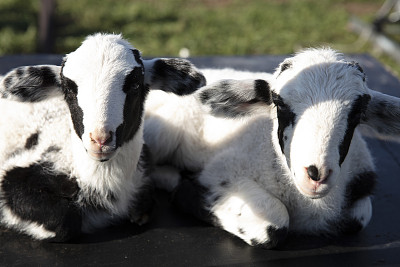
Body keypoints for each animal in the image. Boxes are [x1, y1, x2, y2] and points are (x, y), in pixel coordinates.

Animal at [145, 48, 400, 249]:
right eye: (279, 103)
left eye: (358, 113)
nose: (316, 174)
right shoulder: (222, 170)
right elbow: (274, 225)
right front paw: (184, 191)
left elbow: (360, 217)